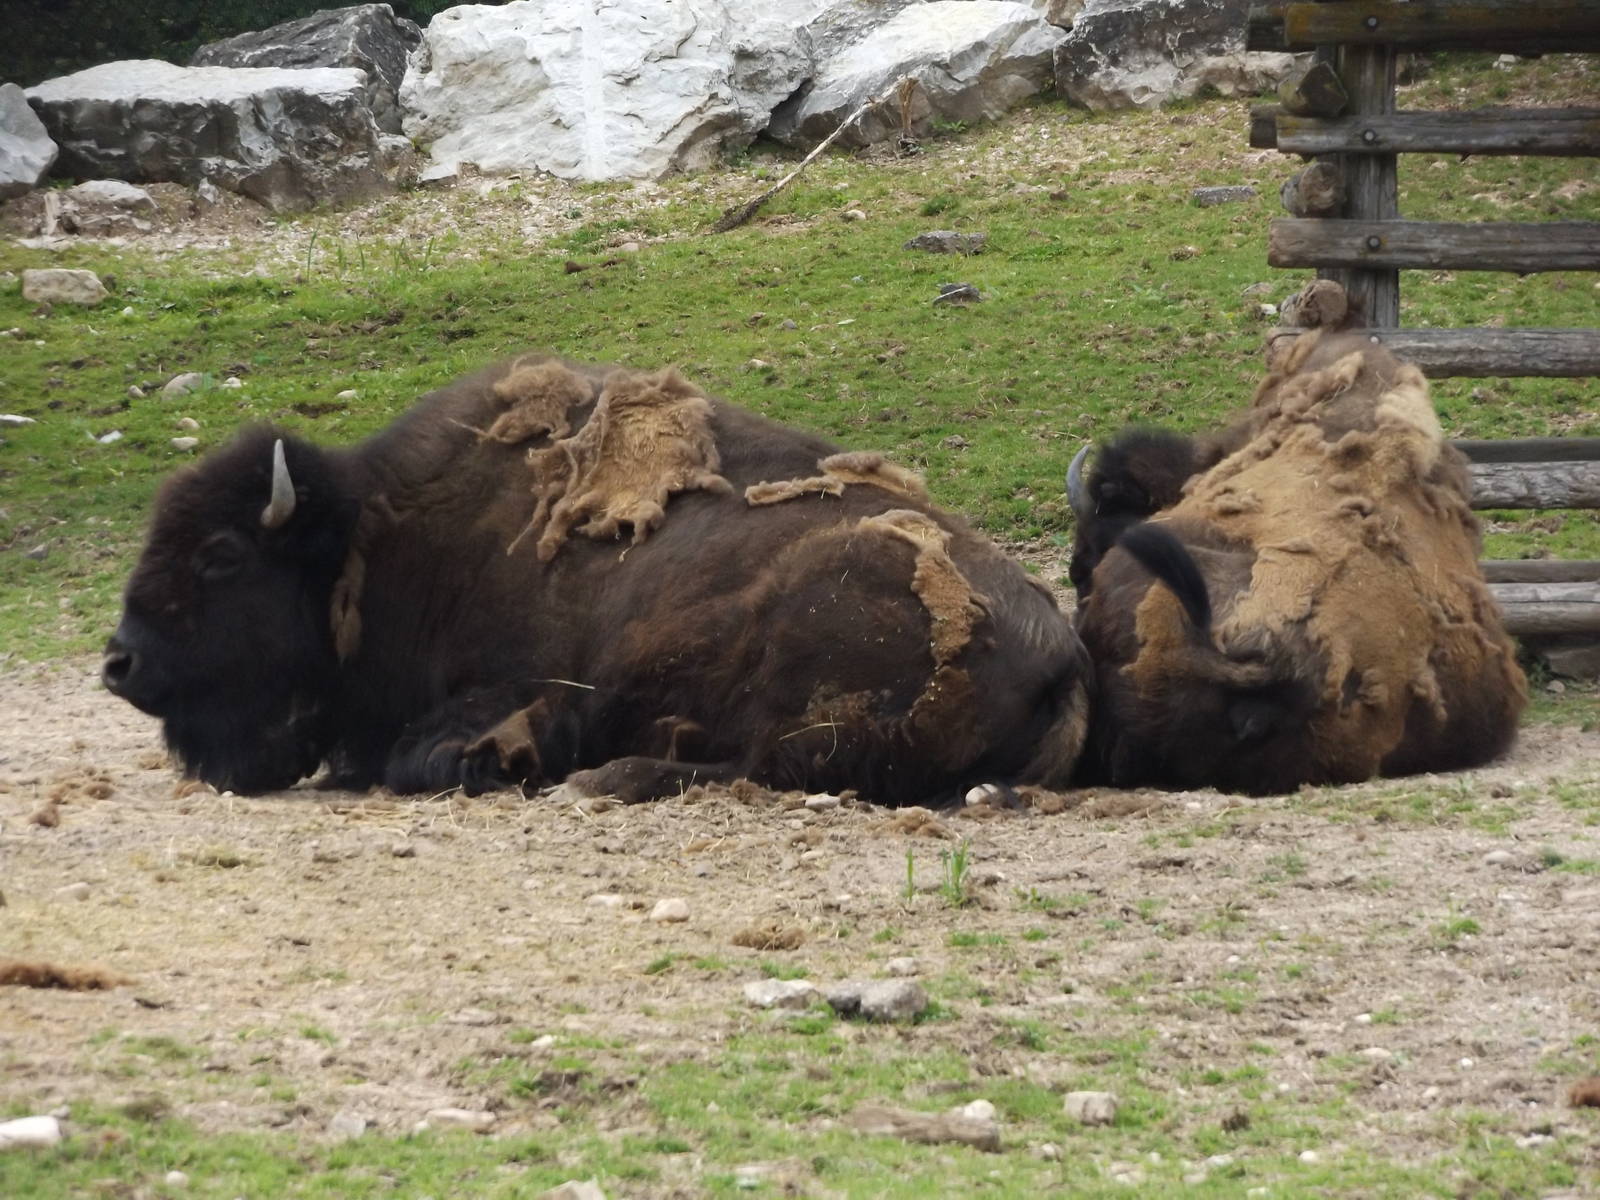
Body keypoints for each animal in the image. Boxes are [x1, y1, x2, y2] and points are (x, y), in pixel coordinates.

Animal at [104, 355, 1092, 803]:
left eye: (221, 554)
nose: (119, 664)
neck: (375, 538)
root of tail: (1061, 649)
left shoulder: (515, 689)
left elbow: (425, 754)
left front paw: (496, 764)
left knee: (755, 764)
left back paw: (600, 776)